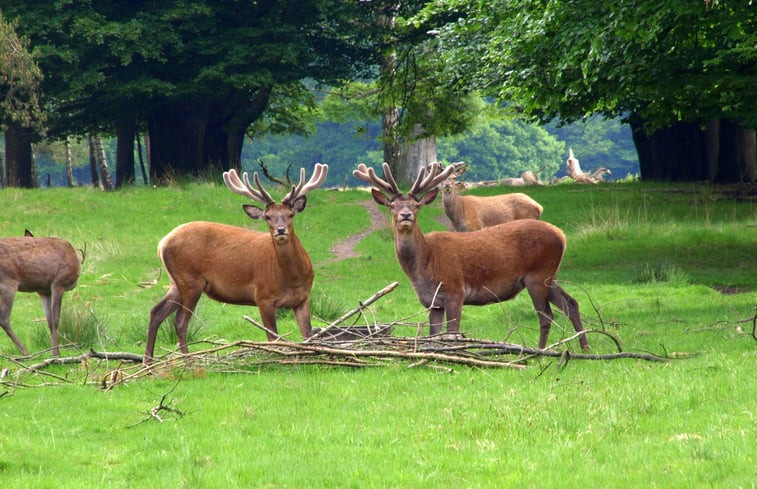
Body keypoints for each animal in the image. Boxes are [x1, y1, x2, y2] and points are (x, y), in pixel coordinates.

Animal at [145, 164, 328, 362]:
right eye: (267, 216)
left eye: (290, 214)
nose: (280, 230)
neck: (293, 279)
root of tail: (162, 243)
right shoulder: (263, 296)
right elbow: (272, 338)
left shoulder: (302, 298)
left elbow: (307, 335)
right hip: (190, 280)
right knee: (179, 321)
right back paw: (188, 360)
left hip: (176, 283)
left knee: (156, 312)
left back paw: (148, 362)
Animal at [354, 164, 592, 350]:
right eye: (392, 205)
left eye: (417, 205)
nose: (406, 215)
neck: (424, 265)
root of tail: (562, 235)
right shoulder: (433, 302)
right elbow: (433, 336)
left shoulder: (455, 291)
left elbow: (451, 334)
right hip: (551, 275)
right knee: (571, 303)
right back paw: (585, 348)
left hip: (538, 275)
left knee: (546, 316)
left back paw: (540, 351)